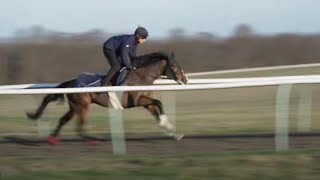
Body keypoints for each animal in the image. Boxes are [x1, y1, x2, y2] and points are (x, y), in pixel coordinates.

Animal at [26, 51, 188, 145]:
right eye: (174, 66)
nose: (185, 80)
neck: (142, 77)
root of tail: (72, 82)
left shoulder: (146, 103)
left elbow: (158, 108)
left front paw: (173, 132)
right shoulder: (137, 101)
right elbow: (159, 103)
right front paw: (165, 124)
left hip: (75, 107)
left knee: (63, 120)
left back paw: (52, 139)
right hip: (83, 106)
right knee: (80, 126)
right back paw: (93, 140)